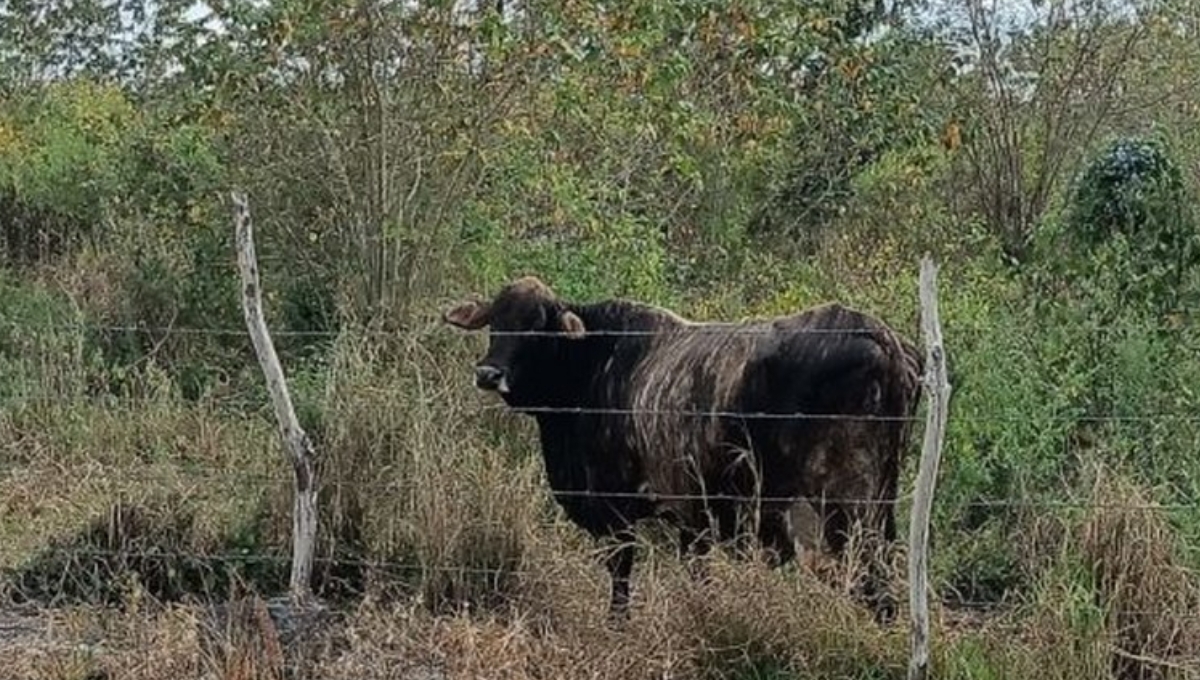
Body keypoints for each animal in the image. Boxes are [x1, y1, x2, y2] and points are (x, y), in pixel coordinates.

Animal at [446, 275, 921, 623]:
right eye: (496, 320)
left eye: (536, 325)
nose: (489, 373)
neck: (595, 364)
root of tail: (882, 338)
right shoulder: (693, 517)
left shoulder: (619, 510)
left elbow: (621, 575)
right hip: (877, 506)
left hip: (843, 509)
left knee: (871, 582)